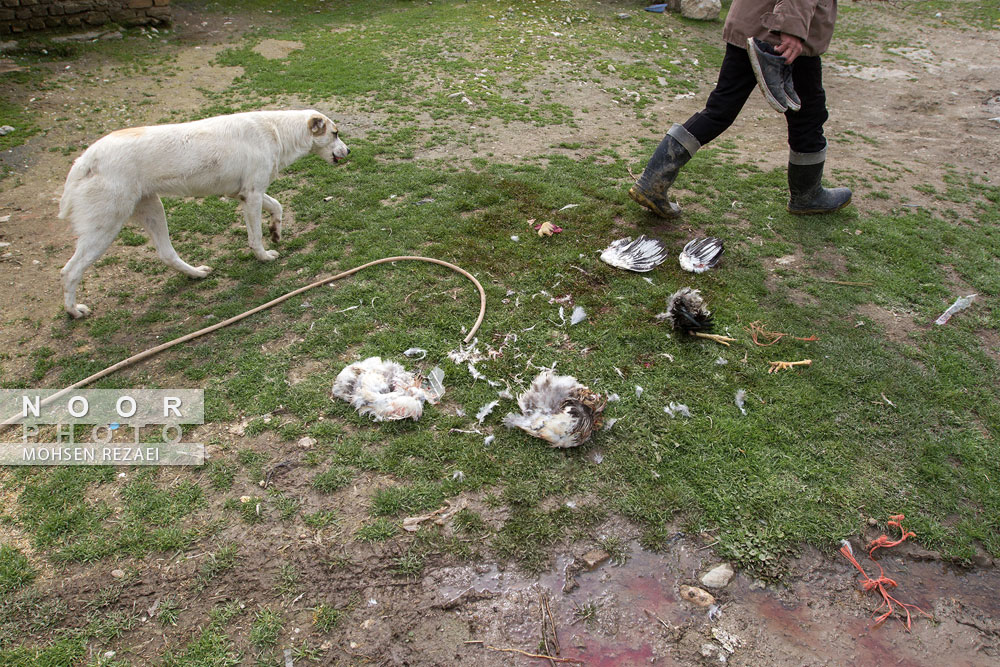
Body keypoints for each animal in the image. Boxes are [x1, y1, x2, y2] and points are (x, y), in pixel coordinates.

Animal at [58, 109, 350, 318]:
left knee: (166, 253)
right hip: (105, 226)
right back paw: (74, 311)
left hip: (152, 209)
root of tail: (84, 160)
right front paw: (264, 256)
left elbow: (277, 205)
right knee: (69, 271)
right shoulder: (252, 195)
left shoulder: (243, 194)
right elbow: (255, 237)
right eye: (335, 133)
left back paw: (196, 274)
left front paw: (276, 231)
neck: (276, 130)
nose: (349, 151)